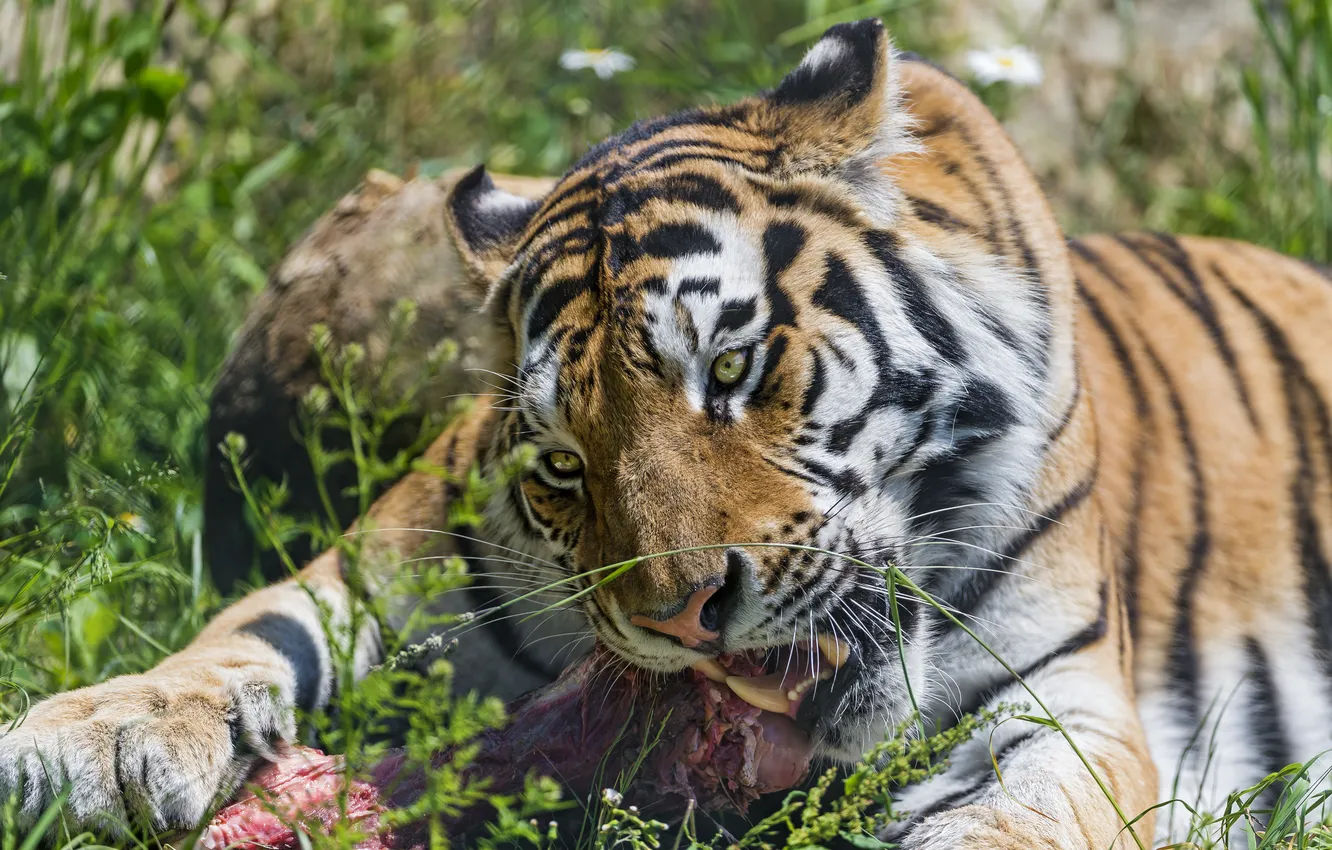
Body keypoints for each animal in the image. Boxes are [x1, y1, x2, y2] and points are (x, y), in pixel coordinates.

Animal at [5, 17, 1332, 848]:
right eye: (562, 465)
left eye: (733, 368)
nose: (684, 617)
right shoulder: (389, 565)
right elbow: (241, 634)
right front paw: (95, 740)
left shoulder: (1063, 708)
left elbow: (1011, 818)